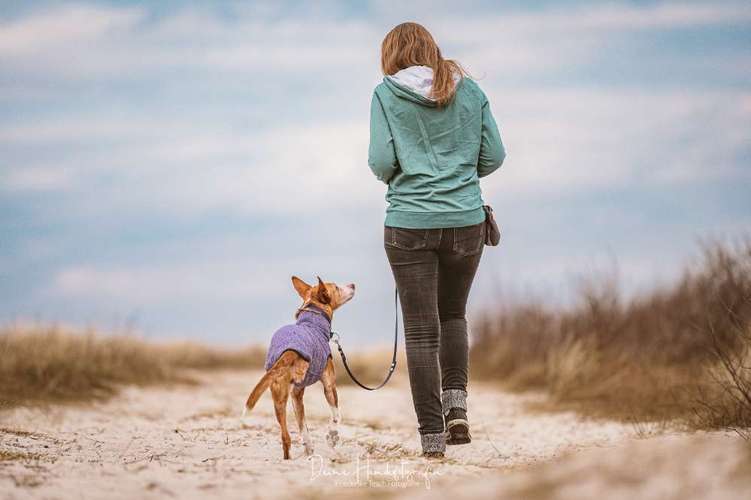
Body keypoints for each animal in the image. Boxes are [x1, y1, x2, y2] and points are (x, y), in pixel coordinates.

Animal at [244, 276, 356, 458]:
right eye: (336, 287)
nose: (353, 285)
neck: (314, 318)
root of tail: (288, 352)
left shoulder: (296, 395)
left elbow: (303, 425)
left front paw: (309, 447)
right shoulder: (329, 385)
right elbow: (336, 415)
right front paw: (332, 437)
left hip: (280, 397)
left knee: (285, 437)